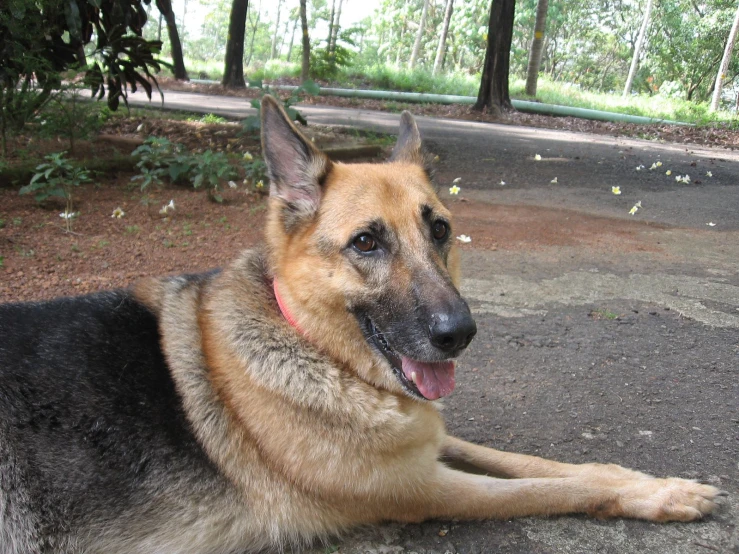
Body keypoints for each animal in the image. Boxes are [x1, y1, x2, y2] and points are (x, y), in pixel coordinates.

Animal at [1, 97, 724, 548]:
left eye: (440, 231)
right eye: (367, 243)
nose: (459, 335)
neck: (312, 346)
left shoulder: (426, 443)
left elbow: (541, 463)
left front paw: (647, 481)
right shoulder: (422, 487)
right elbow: (553, 487)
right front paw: (655, 499)